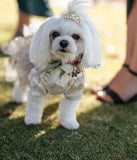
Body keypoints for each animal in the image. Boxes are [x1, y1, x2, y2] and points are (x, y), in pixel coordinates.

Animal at [2, 0, 102, 129]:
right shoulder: (37, 86)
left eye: (76, 36)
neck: (60, 64)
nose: (63, 42)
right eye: (55, 34)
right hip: (26, 70)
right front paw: (32, 120)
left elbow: (68, 111)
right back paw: (18, 98)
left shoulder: (73, 91)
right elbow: (34, 107)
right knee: (20, 85)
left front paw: (69, 123)